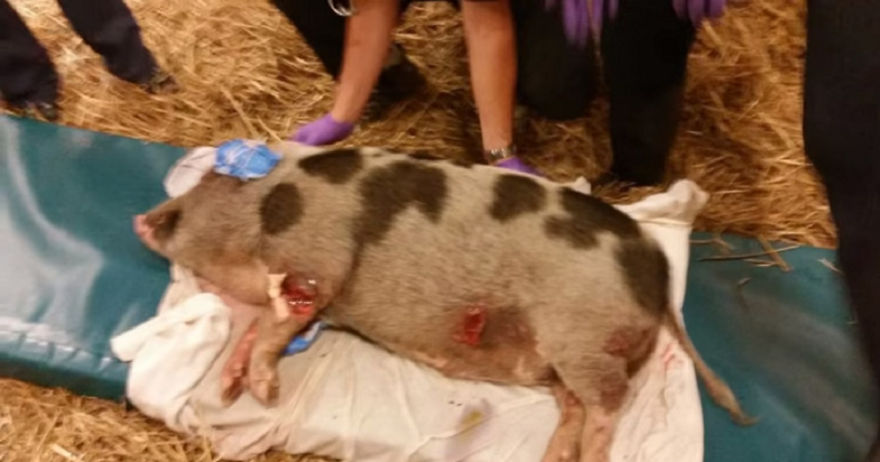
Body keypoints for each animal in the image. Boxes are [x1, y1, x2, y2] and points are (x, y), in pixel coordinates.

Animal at [134, 143, 751, 462]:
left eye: (205, 190)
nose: (145, 217)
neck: (273, 202)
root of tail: (658, 272)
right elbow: (260, 329)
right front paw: (228, 390)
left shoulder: (317, 264)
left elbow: (275, 328)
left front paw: (263, 393)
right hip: (557, 359)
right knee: (577, 405)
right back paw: (554, 456)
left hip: (583, 338)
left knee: (609, 401)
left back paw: (589, 457)